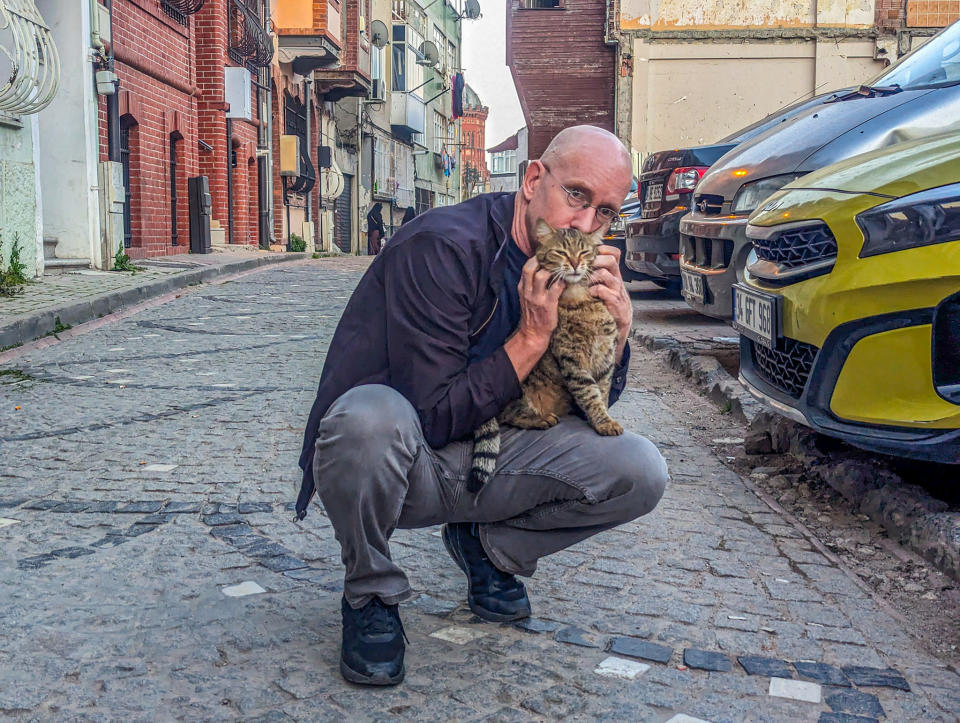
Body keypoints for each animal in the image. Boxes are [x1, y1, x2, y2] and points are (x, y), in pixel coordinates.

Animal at [470, 221, 624, 492]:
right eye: (561, 252)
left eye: (584, 252)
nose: (575, 263)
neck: (581, 300)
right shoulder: (573, 361)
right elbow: (590, 394)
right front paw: (602, 421)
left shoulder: (606, 358)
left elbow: (603, 392)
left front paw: (604, 418)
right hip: (516, 390)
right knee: (510, 415)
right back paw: (540, 419)